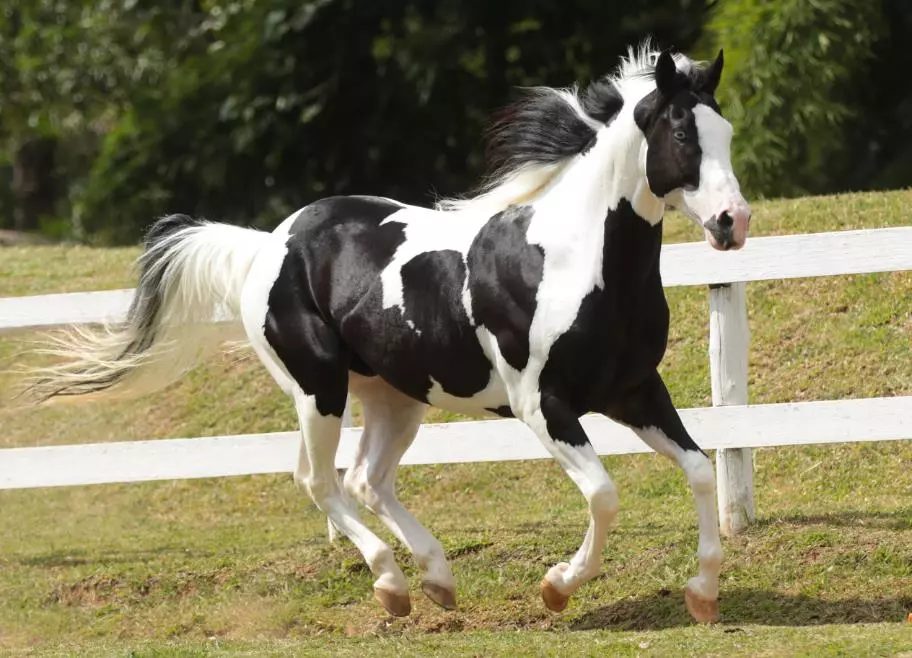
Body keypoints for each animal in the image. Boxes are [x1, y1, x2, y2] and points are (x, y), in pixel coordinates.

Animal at [32, 44, 752, 620]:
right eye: (683, 136)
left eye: (728, 133)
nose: (732, 222)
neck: (574, 260)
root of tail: (270, 242)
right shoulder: (542, 405)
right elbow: (603, 495)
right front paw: (557, 587)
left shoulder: (636, 392)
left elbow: (699, 470)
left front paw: (702, 592)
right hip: (318, 390)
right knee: (319, 481)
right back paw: (392, 584)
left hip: (394, 396)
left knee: (365, 480)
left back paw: (435, 580)